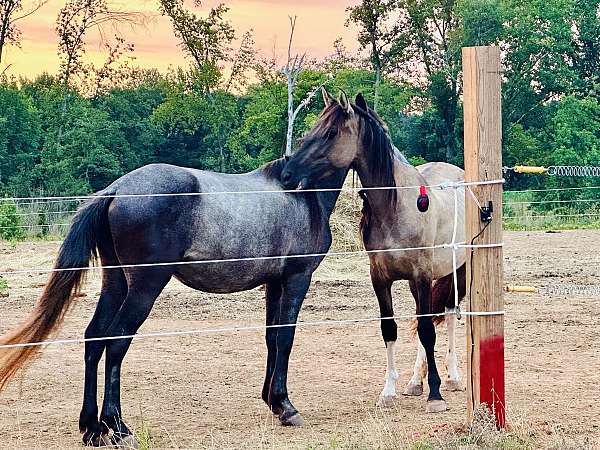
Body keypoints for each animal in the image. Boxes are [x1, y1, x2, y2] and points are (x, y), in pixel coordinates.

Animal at [0, 157, 346, 442]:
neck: (302, 195)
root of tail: (116, 189)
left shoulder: (274, 284)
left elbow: (272, 338)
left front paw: (272, 400)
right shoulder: (297, 279)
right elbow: (285, 338)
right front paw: (286, 406)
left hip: (115, 284)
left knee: (95, 338)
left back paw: (92, 429)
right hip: (145, 288)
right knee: (117, 342)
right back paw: (118, 427)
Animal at [282, 89, 468, 414]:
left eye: (330, 133)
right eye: (312, 129)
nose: (287, 174)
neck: (397, 207)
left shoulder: (421, 275)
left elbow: (428, 330)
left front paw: (435, 395)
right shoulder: (381, 278)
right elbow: (391, 329)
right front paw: (389, 391)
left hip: (459, 269)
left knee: (449, 314)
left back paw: (454, 377)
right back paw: (415, 382)